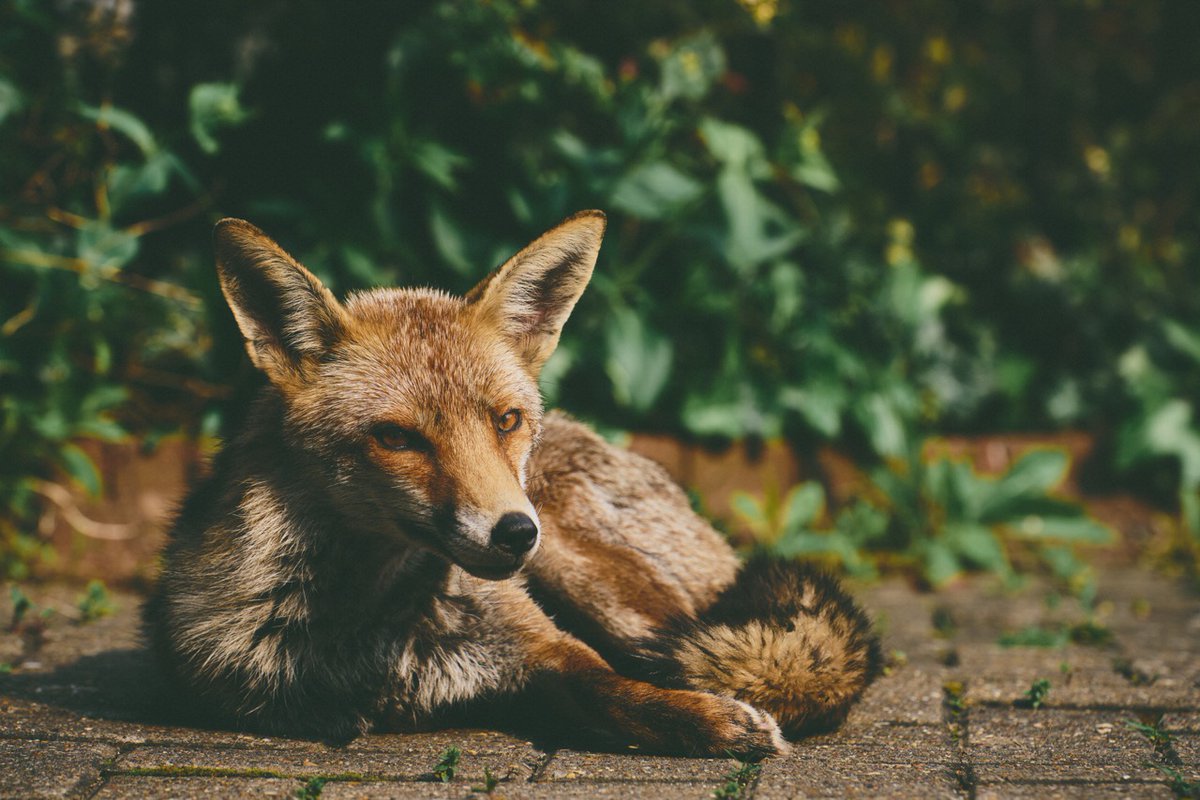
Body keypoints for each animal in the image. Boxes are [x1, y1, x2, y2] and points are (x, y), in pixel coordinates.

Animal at [143, 210, 881, 758]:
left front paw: (711, 719)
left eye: (505, 420)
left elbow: (621, 691)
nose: (516, 532)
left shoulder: (545, 648)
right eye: (397, 438)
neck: (380, 631)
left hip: (591, 576)